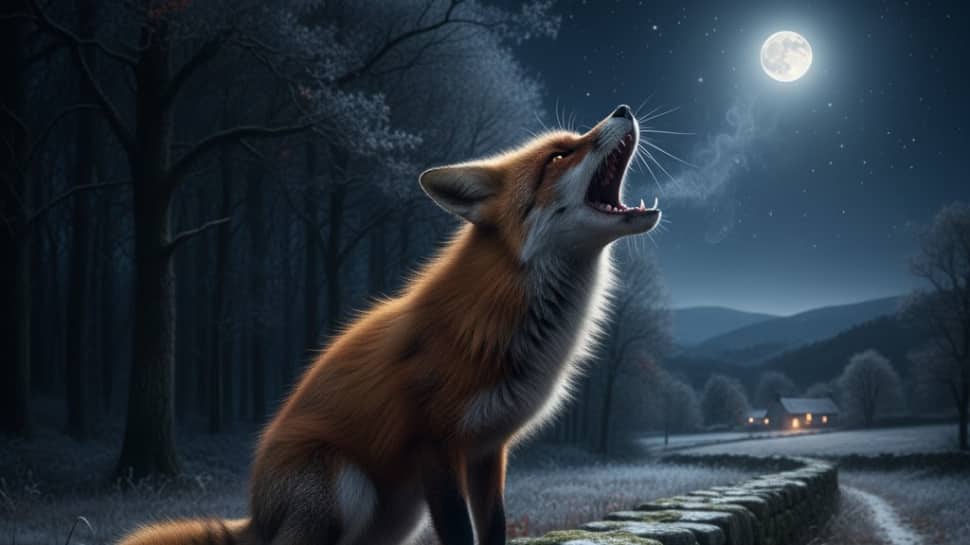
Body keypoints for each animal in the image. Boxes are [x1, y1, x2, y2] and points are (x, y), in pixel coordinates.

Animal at [118, 104, 661, 545]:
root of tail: (255, 513)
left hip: (399, 518)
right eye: (558, 156)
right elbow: (460, 533)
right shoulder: (435, 443)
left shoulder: (490, 449)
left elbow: (495, 528)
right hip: (345, 487)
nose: (623, 108)